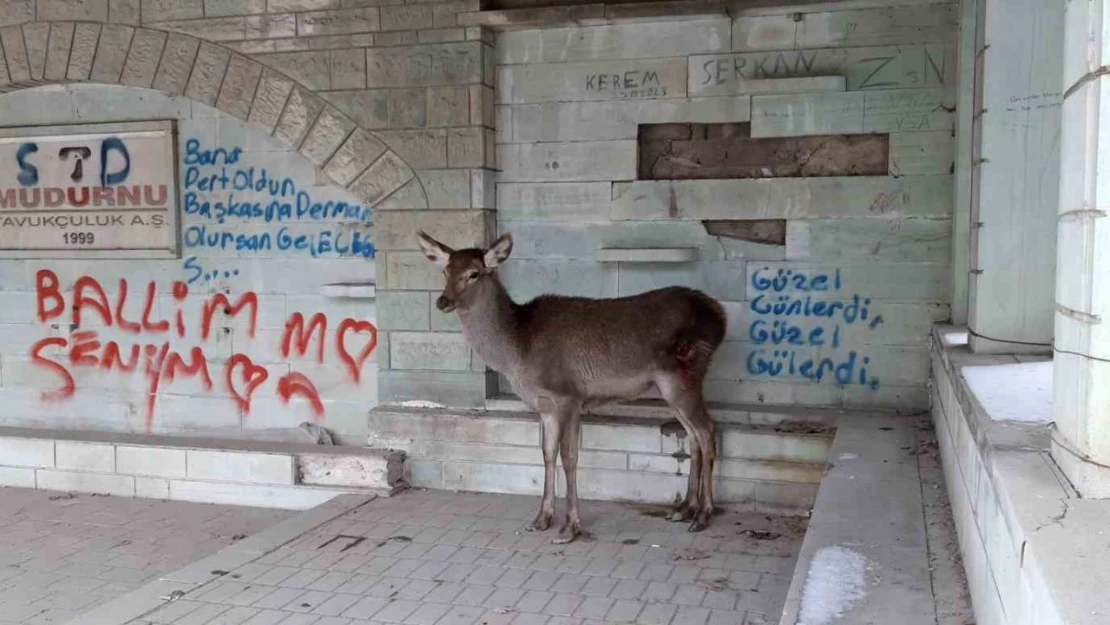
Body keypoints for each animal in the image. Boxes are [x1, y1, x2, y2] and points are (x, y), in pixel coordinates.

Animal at [417, 229, 728, 543]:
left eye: (474, 273)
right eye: (445, 270)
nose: (442, 301)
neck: (517, 350)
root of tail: (720, 315)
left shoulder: (568, 395)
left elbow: (569, 457)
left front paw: (570, 527)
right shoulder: (544, 404)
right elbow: (547, 454)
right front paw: (541, 519)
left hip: (683, 374)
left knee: (707, 430)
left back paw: (703, 514)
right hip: (671, 387)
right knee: (693, 434)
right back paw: (685, 508)